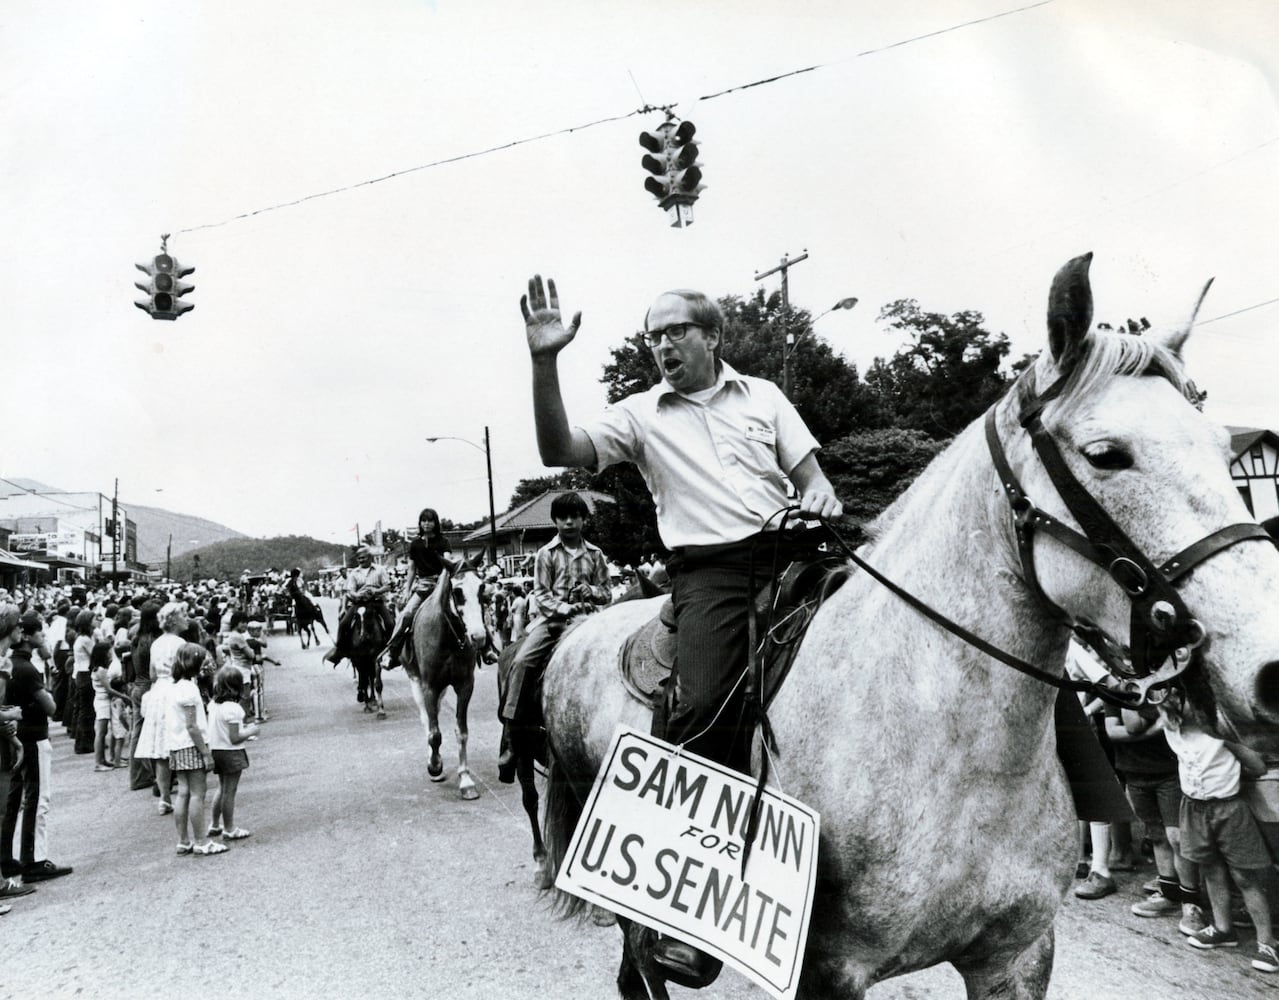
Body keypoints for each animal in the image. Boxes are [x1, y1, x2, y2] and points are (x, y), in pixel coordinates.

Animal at [534, 254, 1279, 997]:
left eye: (1224, 450)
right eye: (1105, 454)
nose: (1269, 673)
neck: (949, 752)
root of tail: (578, 632)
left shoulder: (1018, 956)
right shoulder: (828, 968)